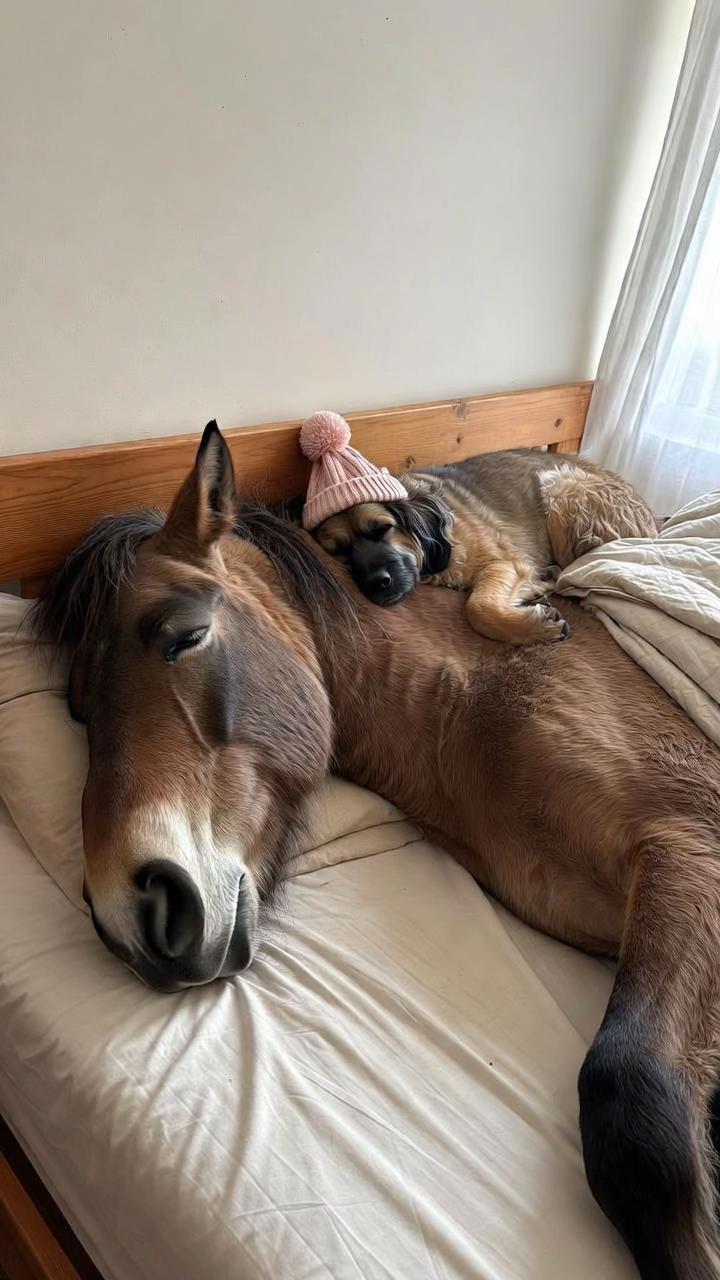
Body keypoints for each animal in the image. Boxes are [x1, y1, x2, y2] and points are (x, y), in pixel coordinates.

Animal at [34, 422, 720, 1280]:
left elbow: (633, 1092)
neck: (481, 693)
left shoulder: (689, 844)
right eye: (76, 709)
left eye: (184, 636)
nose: (131, 910)